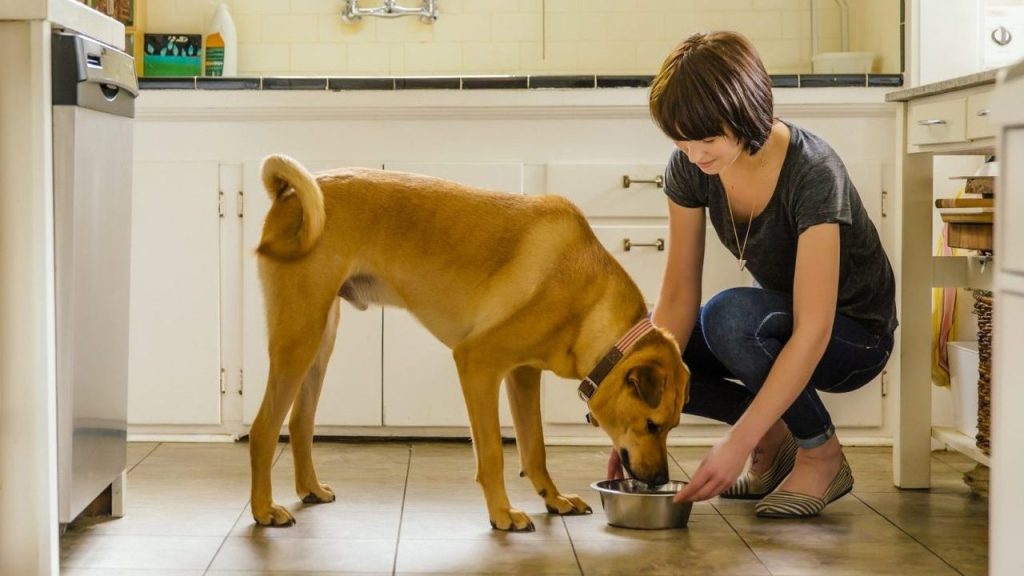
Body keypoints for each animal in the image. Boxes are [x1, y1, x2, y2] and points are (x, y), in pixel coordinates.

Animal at [251, 152, 692, 528]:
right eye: (651, 425)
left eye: (672, 426)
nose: (658, 482)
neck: (588, 300)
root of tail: (291, 192)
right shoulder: (478, 364)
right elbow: (494, 452)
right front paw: (503, 514)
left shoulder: (523, 376)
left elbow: (535, 447)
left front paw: (554, 499)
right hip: (298, 337)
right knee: (264, 429)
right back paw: (264, 510)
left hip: (320, 340)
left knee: (300, 421)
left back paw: (309, 489)